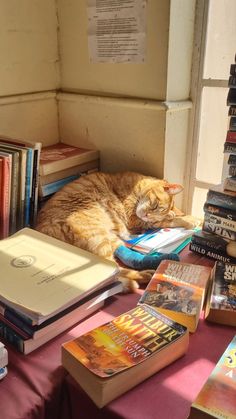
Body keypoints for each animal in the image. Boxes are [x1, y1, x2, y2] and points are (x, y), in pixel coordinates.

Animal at [36, 171, 199, 292]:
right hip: (99, 237)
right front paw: (188, 219)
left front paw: (188, 218)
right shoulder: (134, 219)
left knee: (120, 263)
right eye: (154, 205)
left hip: (109, 237)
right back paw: (142, 277)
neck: (135, 187)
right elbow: (166, 221)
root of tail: (43, 230)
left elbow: (170, 218)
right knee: (113, 272)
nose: (147, 215)